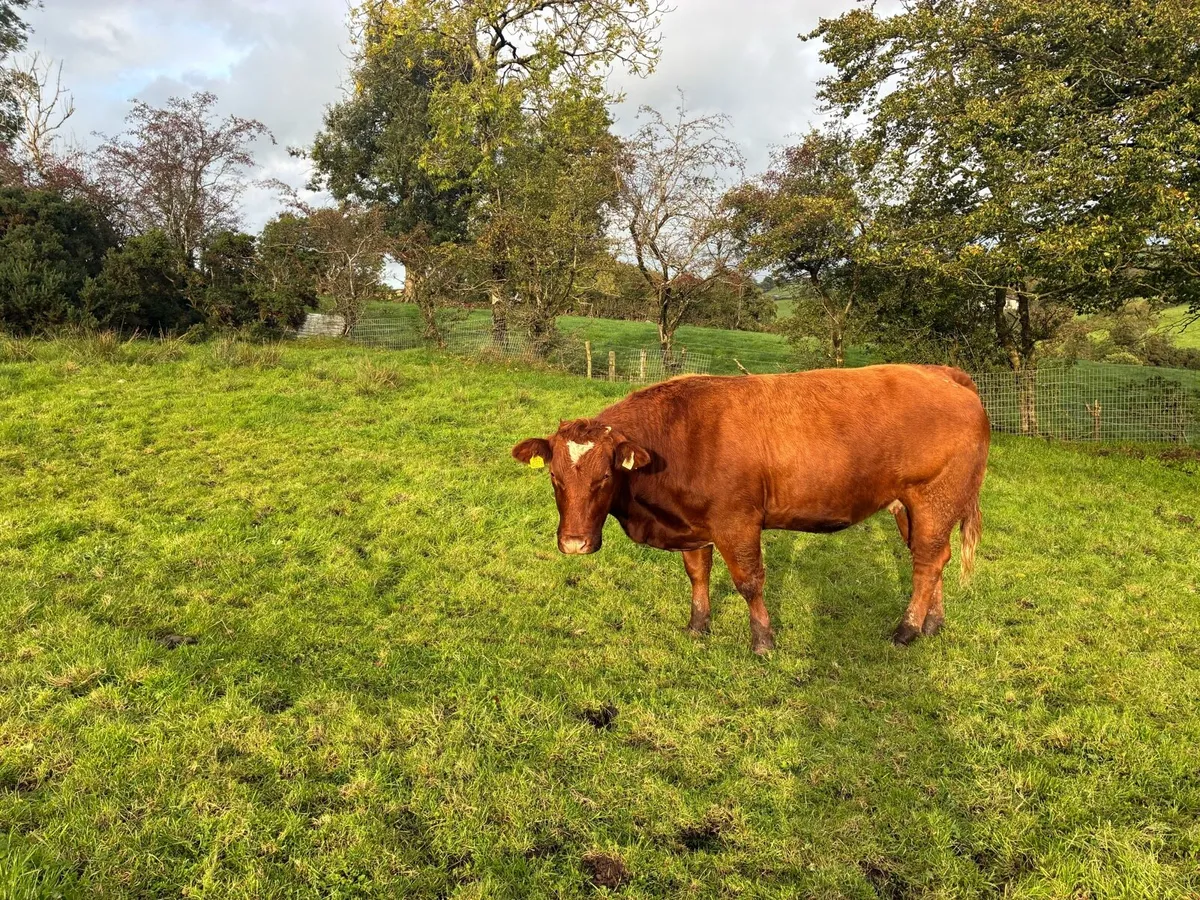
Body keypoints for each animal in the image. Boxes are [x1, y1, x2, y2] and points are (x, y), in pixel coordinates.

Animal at [512, 364, 990, 654]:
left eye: (605, 477)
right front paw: (698, 625)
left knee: (926, 561)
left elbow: (748, 581)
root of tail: (941, 372)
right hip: (909, 506)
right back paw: (932, 624)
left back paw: (906, 630)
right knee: (935, 557)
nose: (574, 543)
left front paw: (763, 639)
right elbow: (698, 573)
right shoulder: (693, 524)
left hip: (934, 497)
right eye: (554, 477)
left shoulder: (737, 521)